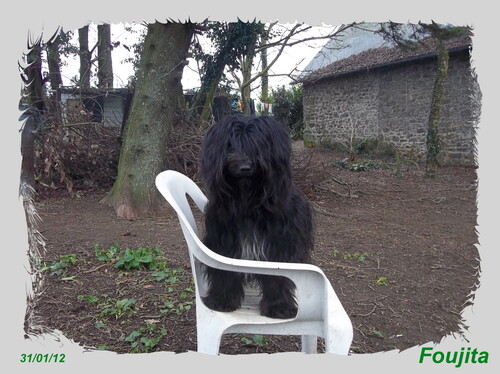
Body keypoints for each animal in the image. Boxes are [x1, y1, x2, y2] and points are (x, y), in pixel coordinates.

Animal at [199, 114, 312, 318]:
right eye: (231, 145)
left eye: (258, 145)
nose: (245, 167)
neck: (247, 202)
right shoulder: (224, 242)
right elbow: (224, 273)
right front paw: (222, 301)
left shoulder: (280, 246)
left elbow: (279, 277)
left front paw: (279, 307)